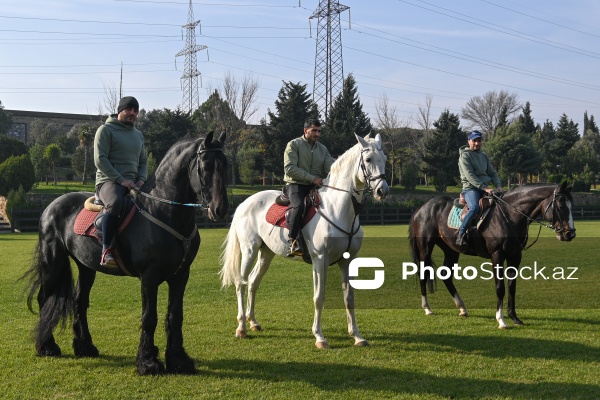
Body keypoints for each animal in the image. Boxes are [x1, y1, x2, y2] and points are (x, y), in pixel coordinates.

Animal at [23, 132, 227, 376]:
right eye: (205, 167)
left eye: (226, 164)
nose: (220, 209)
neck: (164, 213)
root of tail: (51, 206)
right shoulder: (149, 278)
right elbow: (149, 318)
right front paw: (148, 362)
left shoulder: (180, 276)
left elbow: (175, 316)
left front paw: (178, 360)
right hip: (53, 261)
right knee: (45, 298)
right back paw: (47, 346)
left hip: (86, 267)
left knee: (79, 302)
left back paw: (85, 346)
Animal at [220, 134, 390, 346]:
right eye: (367, 160)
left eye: (385, 160)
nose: (382, 191)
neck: (338, 210)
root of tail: (245, 203)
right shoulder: (320, 260)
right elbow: (319, 297)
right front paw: (319, 337)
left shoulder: (348, 261)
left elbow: (349, 298)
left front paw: (357, 336)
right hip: (249, 250)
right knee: (241, 283)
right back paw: (241, 327)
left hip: (266, 254)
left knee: (252, 282)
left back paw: (253, 322)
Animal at [408, 183, 576, 330]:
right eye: (561, 205)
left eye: (571, 206)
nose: (570, 234)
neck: (509, 215)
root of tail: (422, 208)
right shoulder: (497, 256)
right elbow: (500, 287)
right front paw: (501, 320)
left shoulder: (515, 256)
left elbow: (512, 286)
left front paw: (514, 317)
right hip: (425, 248)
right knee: (423, 274)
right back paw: (427, 308)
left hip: (451, 250)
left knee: (446, 275)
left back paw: (462, 308)